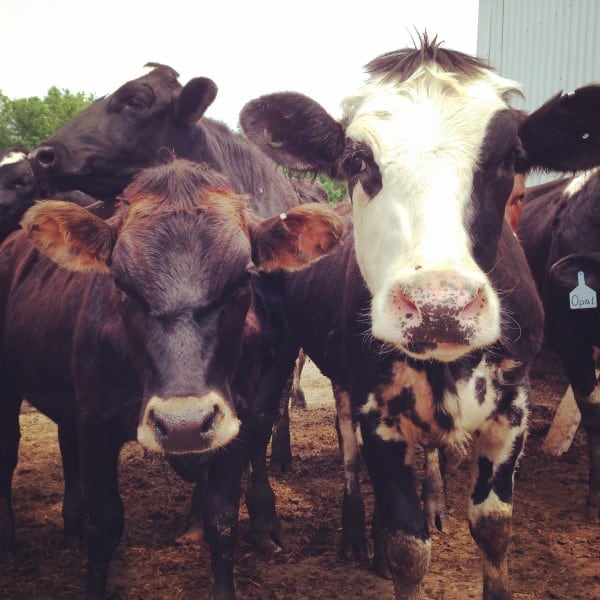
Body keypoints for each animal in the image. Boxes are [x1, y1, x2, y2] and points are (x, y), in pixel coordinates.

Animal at [0, 157, 342, 596]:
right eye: (120, 283)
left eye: (243, 278)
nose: (184, 424)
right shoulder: (96, 424)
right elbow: (106, 523)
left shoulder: (237, 420)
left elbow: (221, 518)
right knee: (9, 451)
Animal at [239, 38, 600, 600]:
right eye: (356, 159)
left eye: (511, 159)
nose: (439, 308)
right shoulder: (377, 412)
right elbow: (407, 548)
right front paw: (387, 544)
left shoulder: (513, 409)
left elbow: (493, 528)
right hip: (288, 348)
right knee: (325, 440)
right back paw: (351, 531)